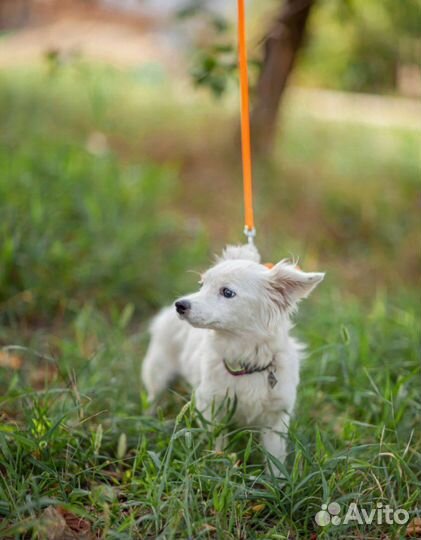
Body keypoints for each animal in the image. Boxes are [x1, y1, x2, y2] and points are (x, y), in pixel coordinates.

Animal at [143, 245, 324, 468]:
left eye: (227, 292)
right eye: (202, 285)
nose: (180, 304)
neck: (245, 362)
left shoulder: (276, 420)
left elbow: (275, 461)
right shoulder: (212, 409)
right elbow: (217, 445)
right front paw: (217, 467)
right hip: (158, 375)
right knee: (153, 399)